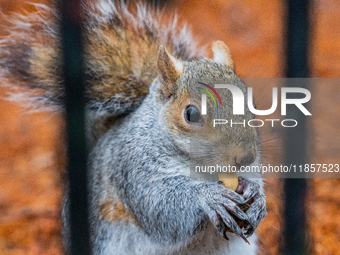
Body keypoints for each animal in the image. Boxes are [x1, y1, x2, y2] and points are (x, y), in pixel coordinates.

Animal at [0, 0, 266, 255]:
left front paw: (256, 195)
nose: (245, 157)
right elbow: (160, 207)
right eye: (190, 114)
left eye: (252, 103)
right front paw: (210, 197)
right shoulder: (133, 165)